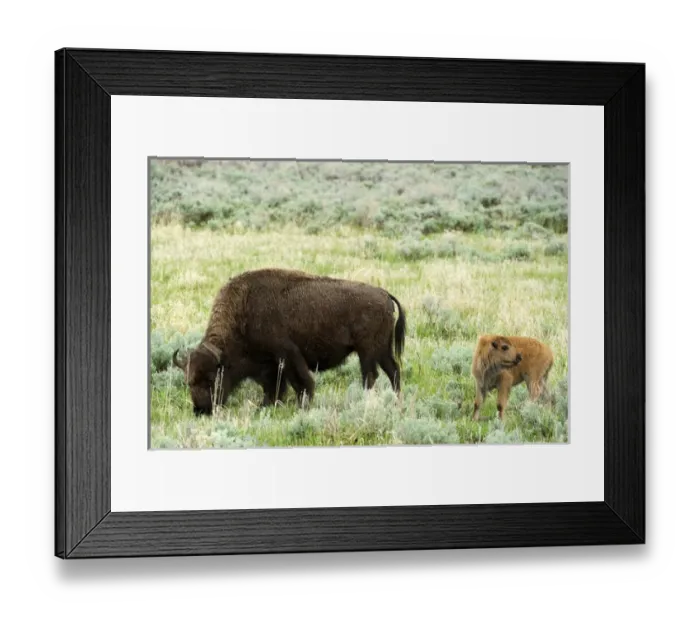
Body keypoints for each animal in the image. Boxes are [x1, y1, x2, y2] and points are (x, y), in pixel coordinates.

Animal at [172, 268, 406, 415]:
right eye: (188, 381)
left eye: (212, 377)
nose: (201, 410)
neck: (243, 314)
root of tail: (384, 294)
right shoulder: (270, 366)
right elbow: (275, 387)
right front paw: (266, 406)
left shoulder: (288, 356)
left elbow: (302, 383)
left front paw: (301, 407)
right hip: (382, 350)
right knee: (392, 371)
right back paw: (395, 399)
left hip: (367, 352)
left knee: (370, 375)